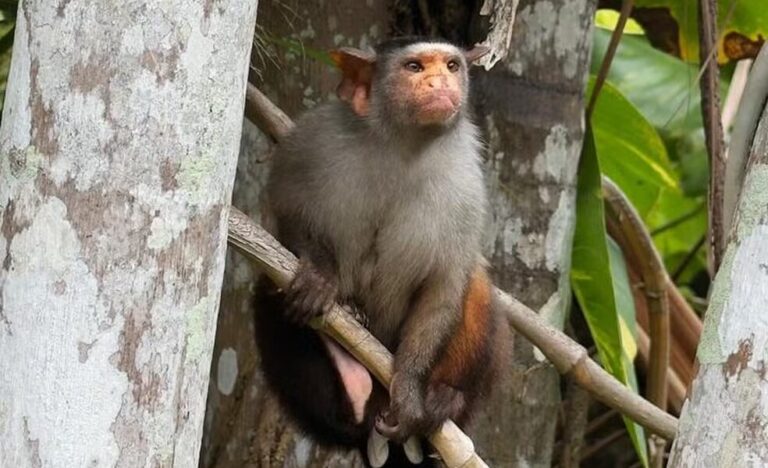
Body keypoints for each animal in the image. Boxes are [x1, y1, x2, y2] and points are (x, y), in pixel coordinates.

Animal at [253, 37, 511, 467]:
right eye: (414, 67)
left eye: (452, 66)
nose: (441, 83)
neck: (403, 145)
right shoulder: (315, 140)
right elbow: (284, 211)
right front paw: (320, 275)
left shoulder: (467, 186)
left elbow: (444, 287)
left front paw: (409, 389)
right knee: (267, 284)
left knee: (474, 281)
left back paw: (445, 399)